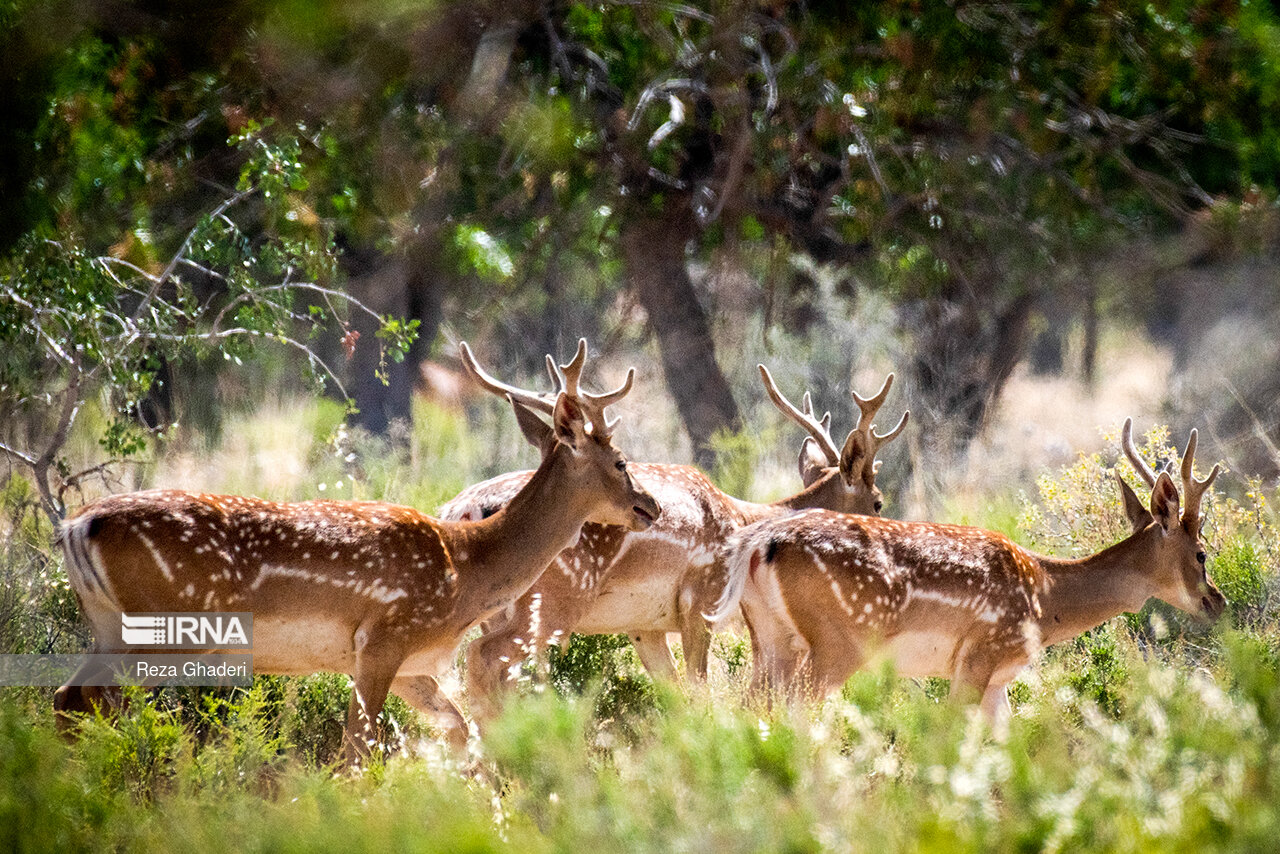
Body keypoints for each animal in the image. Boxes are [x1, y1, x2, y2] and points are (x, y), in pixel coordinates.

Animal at [52, 338, 660, 763]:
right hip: (162, 626)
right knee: (94, 701)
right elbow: (357, 752)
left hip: (106, 626)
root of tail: (77, 525)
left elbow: (459, 732)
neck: (464, 573)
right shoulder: (384, 638)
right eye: (621, 461)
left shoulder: (414, 665)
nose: (651, 506)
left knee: (68, 697)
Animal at [440, 363, 911, 722]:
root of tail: (458, 510)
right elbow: (699, 691)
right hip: (553, 600)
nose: (885, 537)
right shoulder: (700, 600)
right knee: (487, 663)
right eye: (879, 501)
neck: (745, 518)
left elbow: (674, 694)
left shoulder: (645, 626)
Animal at [727, 419, 1223, 722]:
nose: (1217, 601)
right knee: (792, 708)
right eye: (1202, 553)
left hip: (771, 638)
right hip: (839, 640)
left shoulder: (998, 680)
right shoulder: (980, 653)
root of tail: (760, 545)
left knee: (747, 707)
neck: (1046, 598)